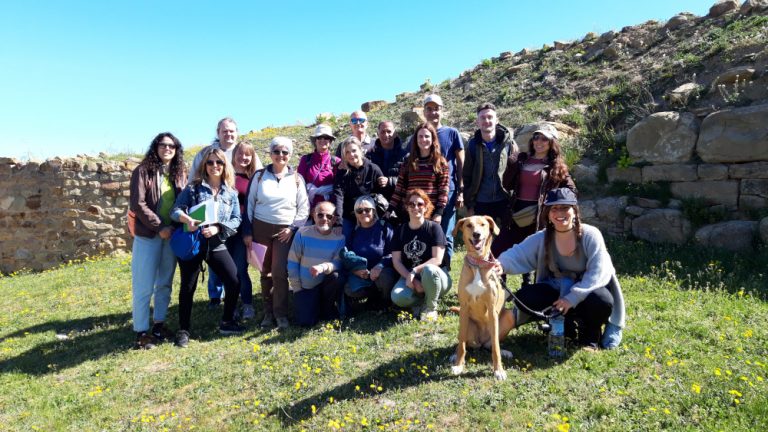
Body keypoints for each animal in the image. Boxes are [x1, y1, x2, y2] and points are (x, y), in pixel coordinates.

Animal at [450, 215, 510, 378]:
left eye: (483, 224)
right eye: (469, 225)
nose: (476, 234)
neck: (478, 263)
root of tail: (481, 342)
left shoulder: (492, 309)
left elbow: (495, 347)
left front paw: (498, 370)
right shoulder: (464, 307)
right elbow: (462, 345)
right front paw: (459, 365)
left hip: (506, 317)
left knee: (491, 344)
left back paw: (505, 351)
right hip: (465, 323)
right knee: (464, 342)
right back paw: (454, 355)